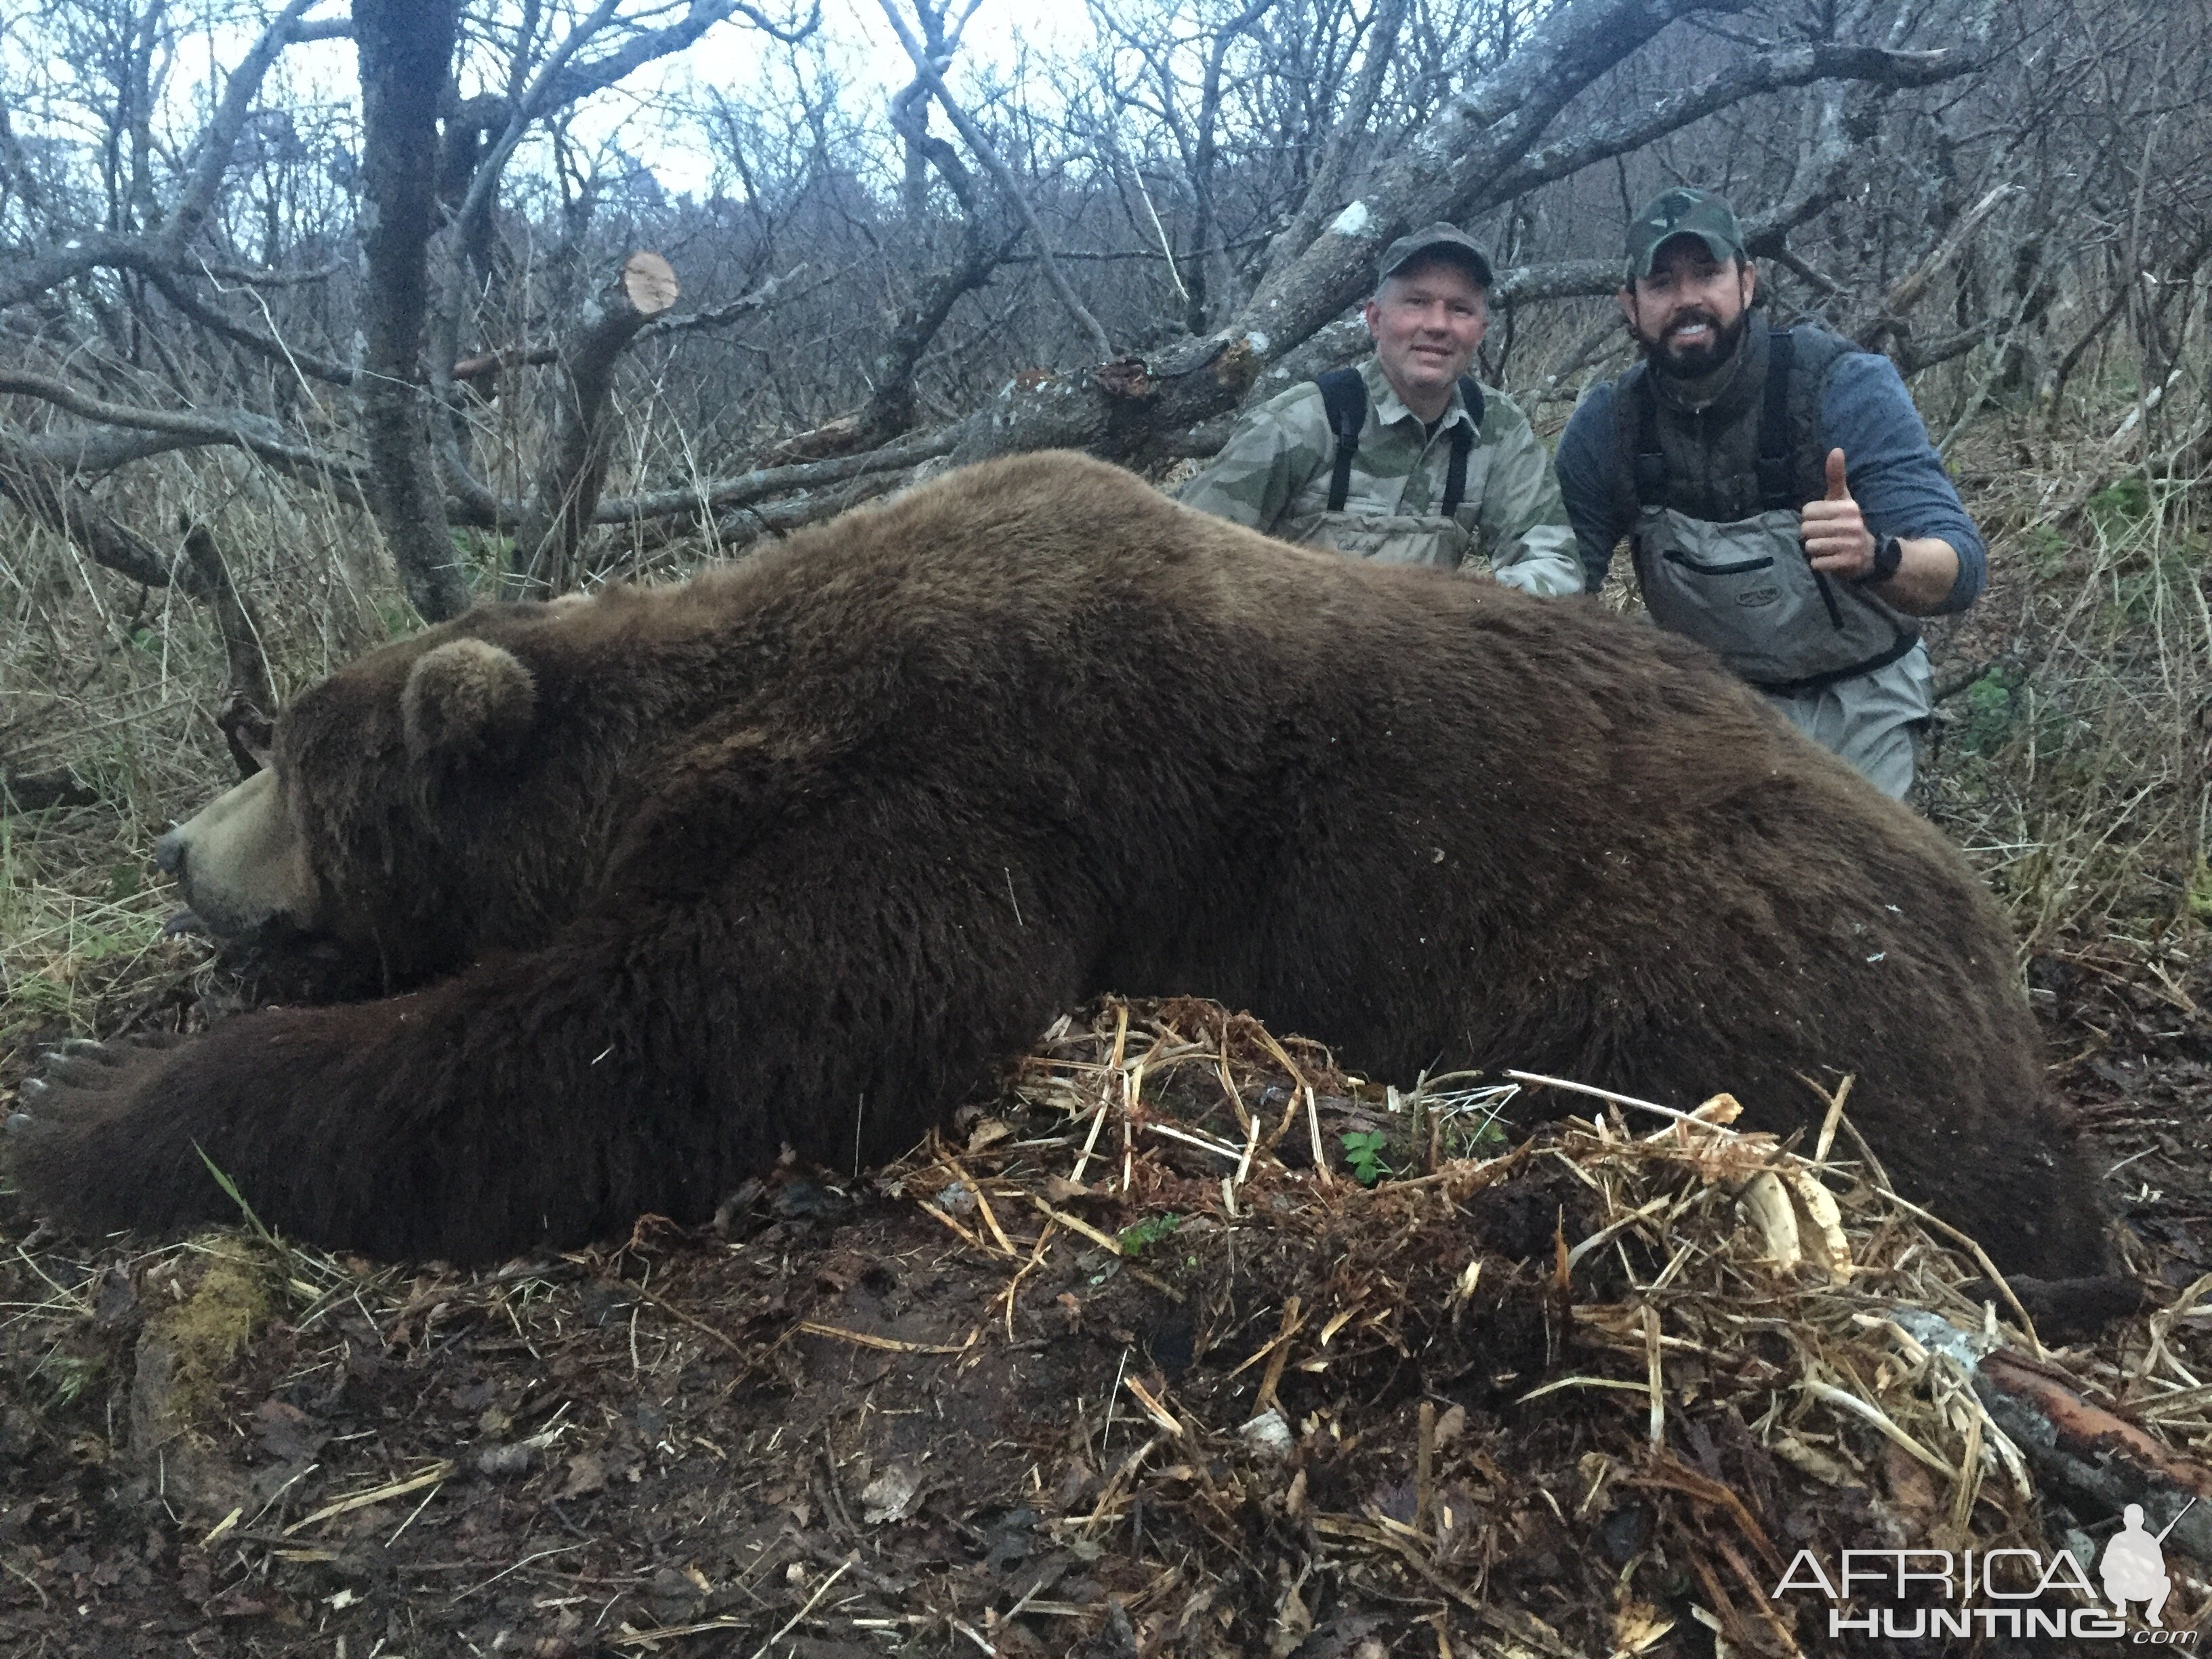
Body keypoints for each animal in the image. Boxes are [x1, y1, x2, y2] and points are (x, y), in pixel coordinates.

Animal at [4, 451, 2106, 1274]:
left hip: (1720, 953)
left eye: (291, 759)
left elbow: (702, 1023)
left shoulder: (964, 773)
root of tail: (1985, 936)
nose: (178, 850)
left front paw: (97, 1115)